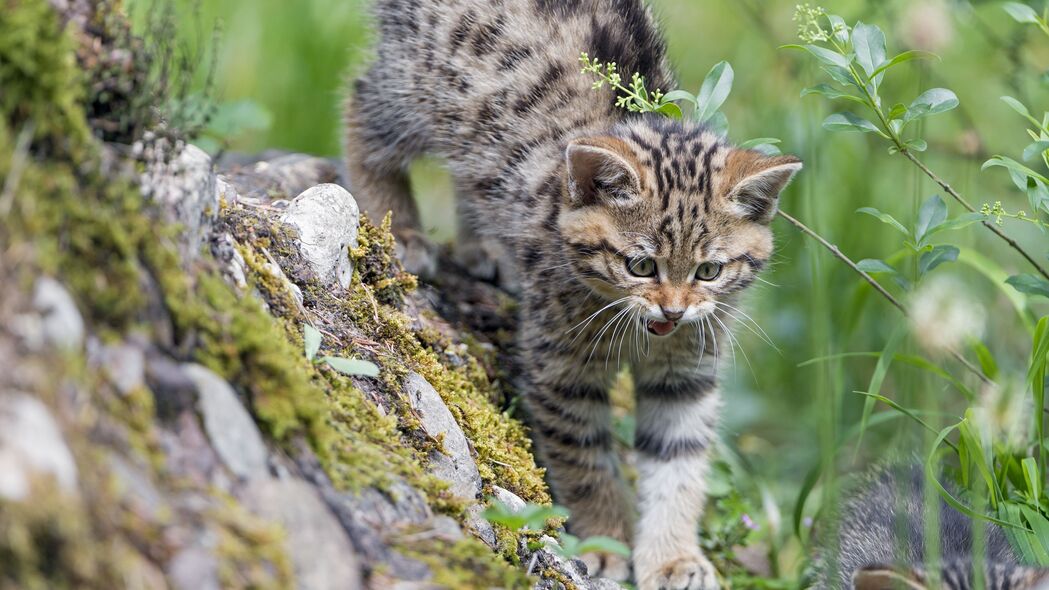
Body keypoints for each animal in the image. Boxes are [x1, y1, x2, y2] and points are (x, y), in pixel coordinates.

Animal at [339, 2, 797, 583]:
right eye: (640, 266)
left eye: (709, 271)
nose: (672, 311)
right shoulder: (559, 365)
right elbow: (584, 455)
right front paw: (604, 541)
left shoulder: (687, 370)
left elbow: (679, 459)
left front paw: (672, 556)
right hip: (425, 84)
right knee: (364, 100)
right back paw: (396, 226)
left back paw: (482, 246)